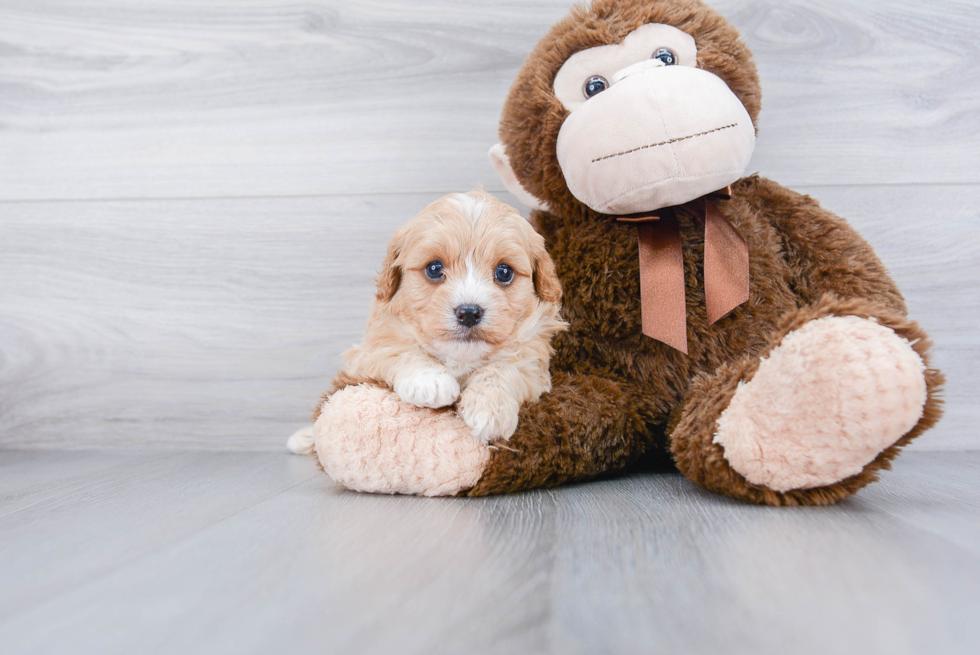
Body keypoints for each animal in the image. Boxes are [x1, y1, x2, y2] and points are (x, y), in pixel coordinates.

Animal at [288, 187, 568, 452]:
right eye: (434, 268)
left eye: (504, 272)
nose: (468, 312)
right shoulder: (368, 353)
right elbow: (398, 349)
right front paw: (430, 380)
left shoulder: (534, 364)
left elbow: (506, 368)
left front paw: (490, 408)